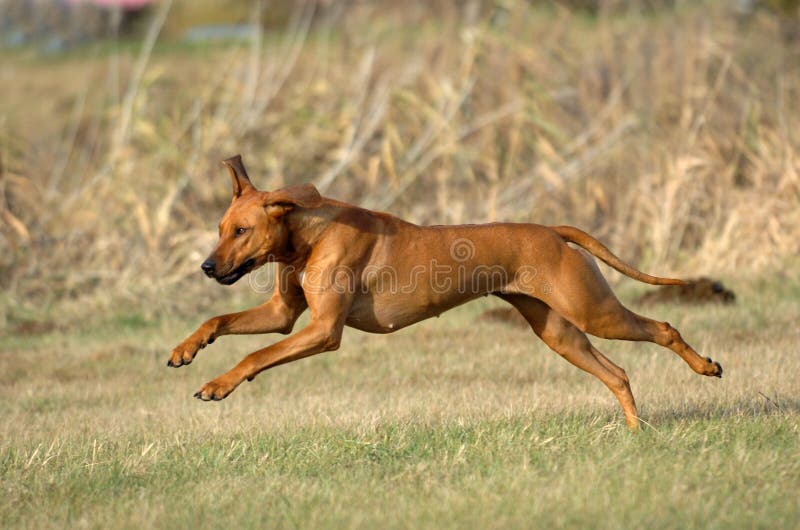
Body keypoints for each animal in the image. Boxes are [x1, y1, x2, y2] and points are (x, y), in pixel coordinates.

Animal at [166, 155, 720, 426]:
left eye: (242, 231)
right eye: (220, 228)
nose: (207, 267)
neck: (308, 234)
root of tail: (551, 229)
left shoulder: (323, 330)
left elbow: (257, 354)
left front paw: (219, 384)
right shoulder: (284, 314)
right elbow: (220, 322)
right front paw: (186, 349)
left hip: (592, 311)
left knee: (663, 327)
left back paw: (705, 367)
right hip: (560, 332)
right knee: (617, 373)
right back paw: (633, 430)